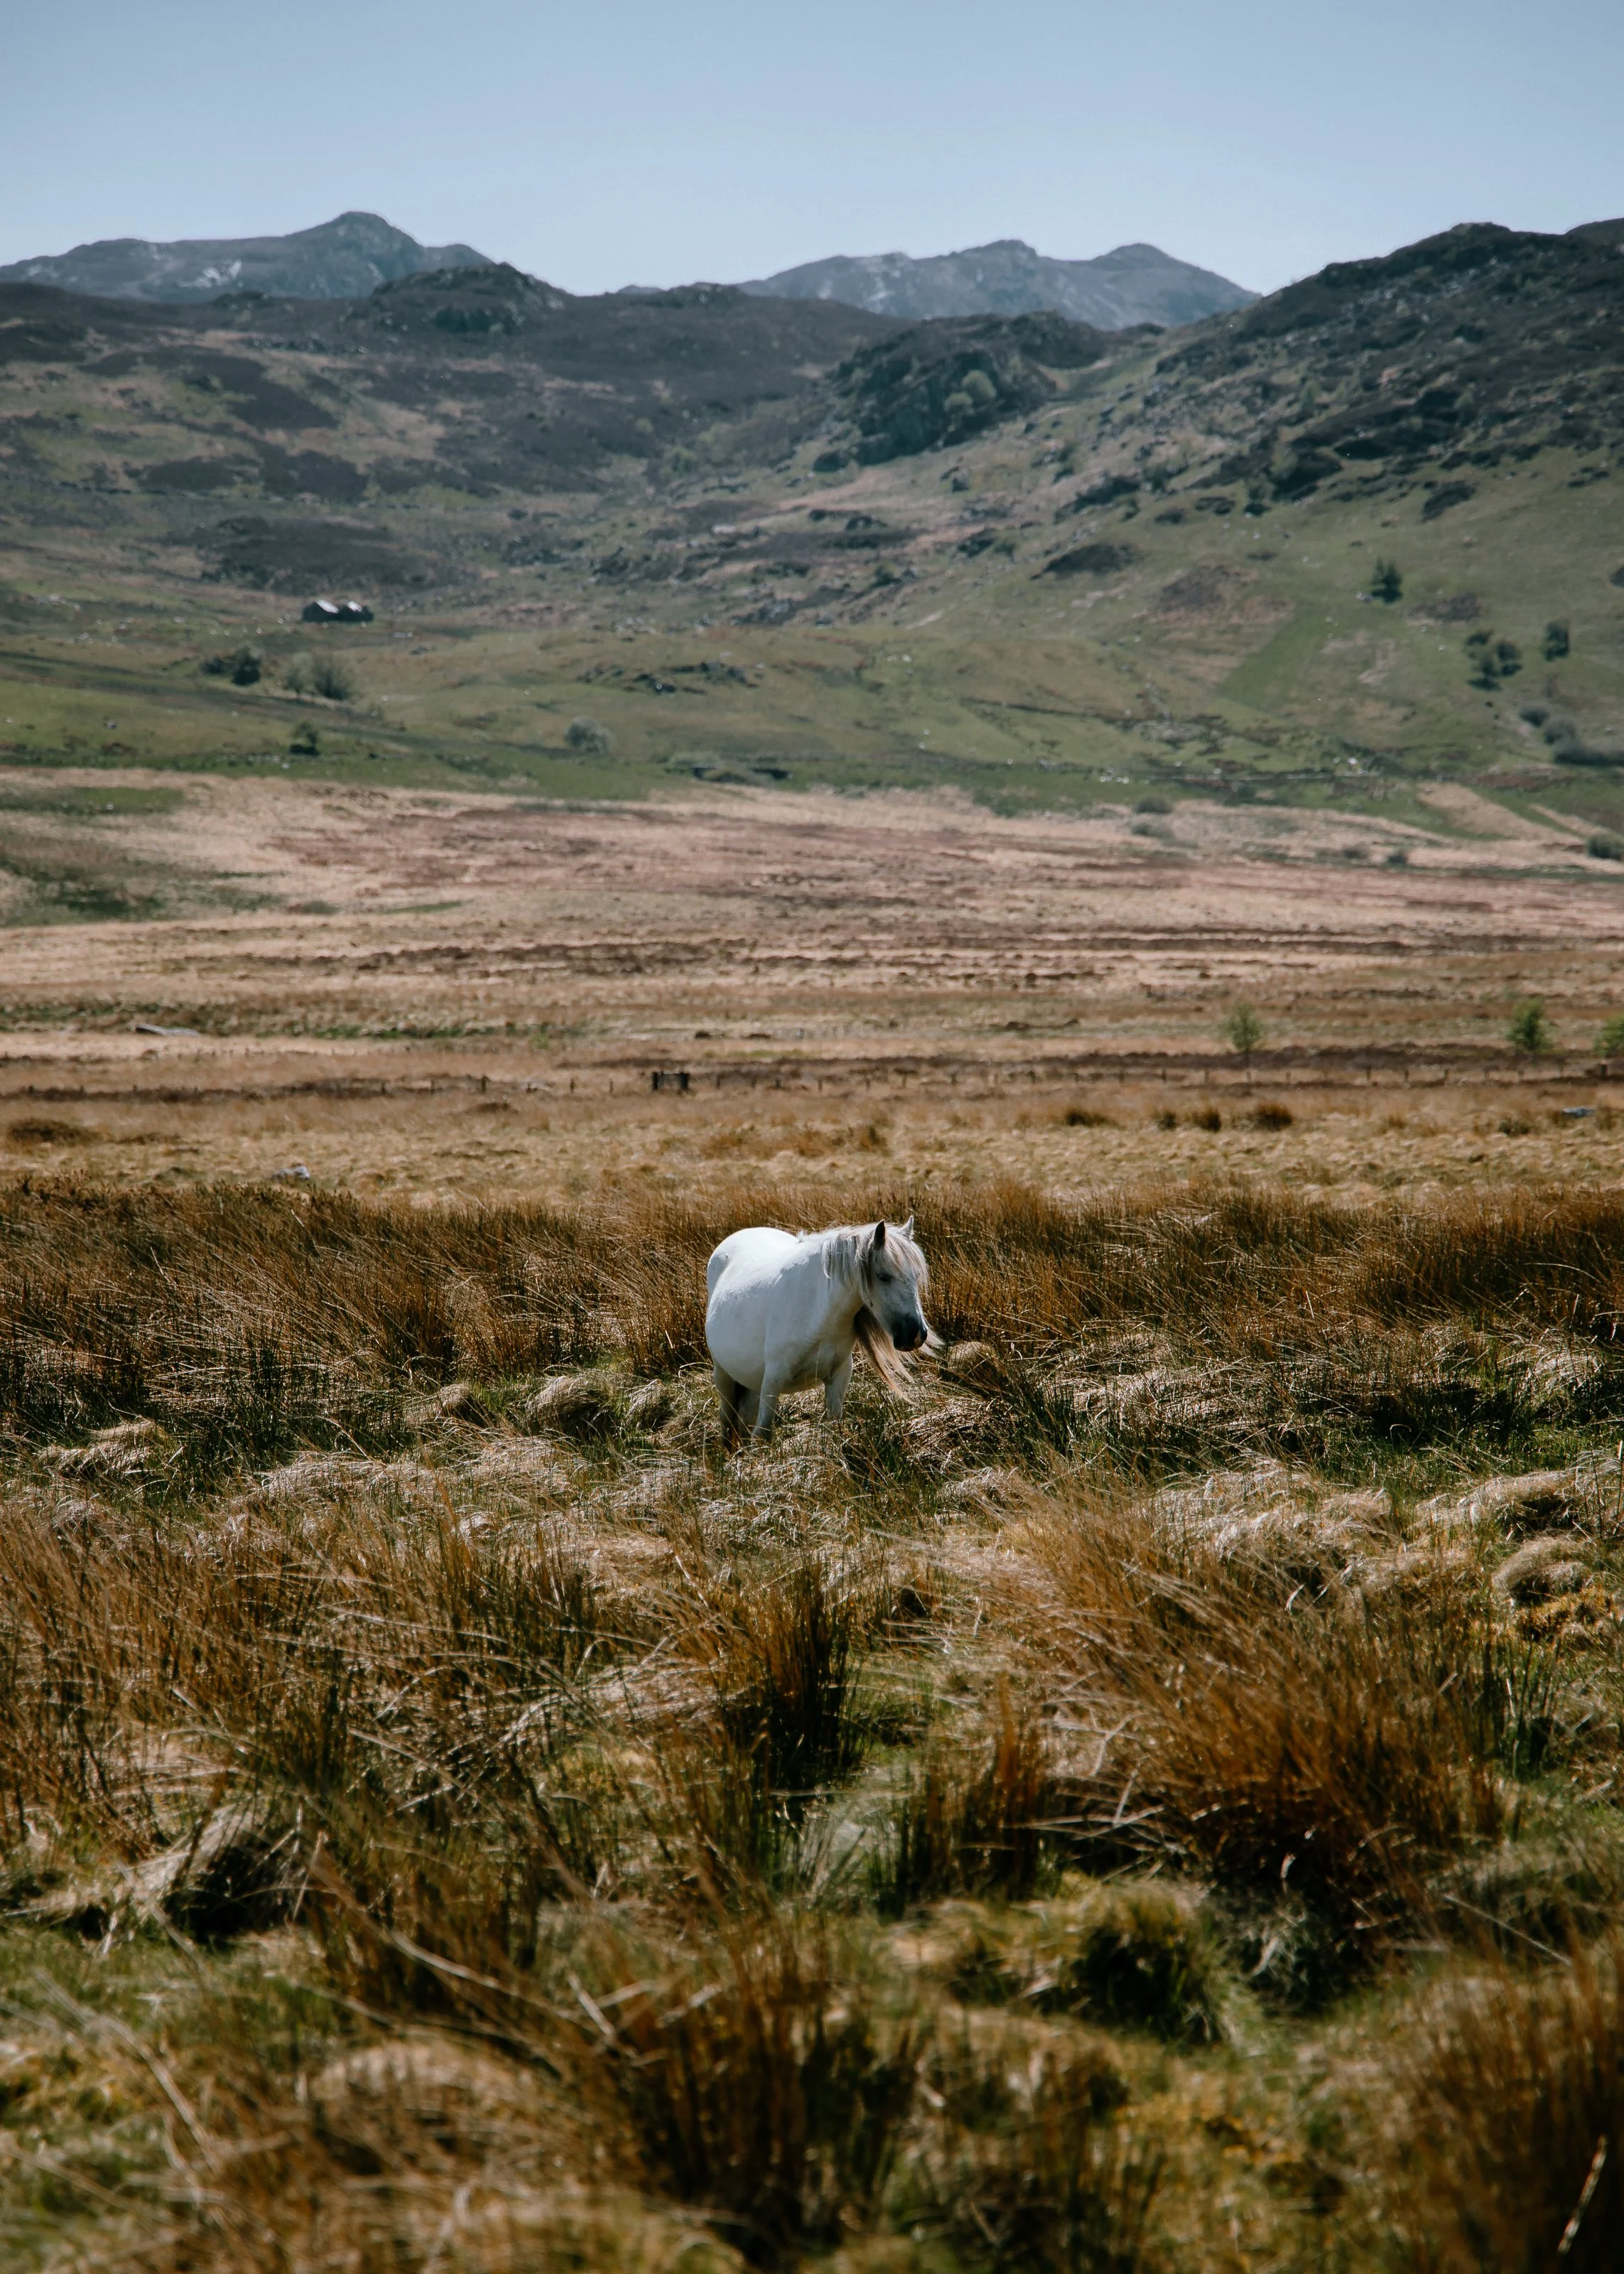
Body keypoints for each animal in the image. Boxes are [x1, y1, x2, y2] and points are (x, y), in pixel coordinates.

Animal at [705, 1217, 936, 1443]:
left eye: (916, 1277)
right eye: (883, 1277)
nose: (916, 1335)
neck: (819, 1312)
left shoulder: (838, 1378)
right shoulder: (773, 1379)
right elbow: (763, 1435)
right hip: (724, 1376)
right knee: (727, 1422)